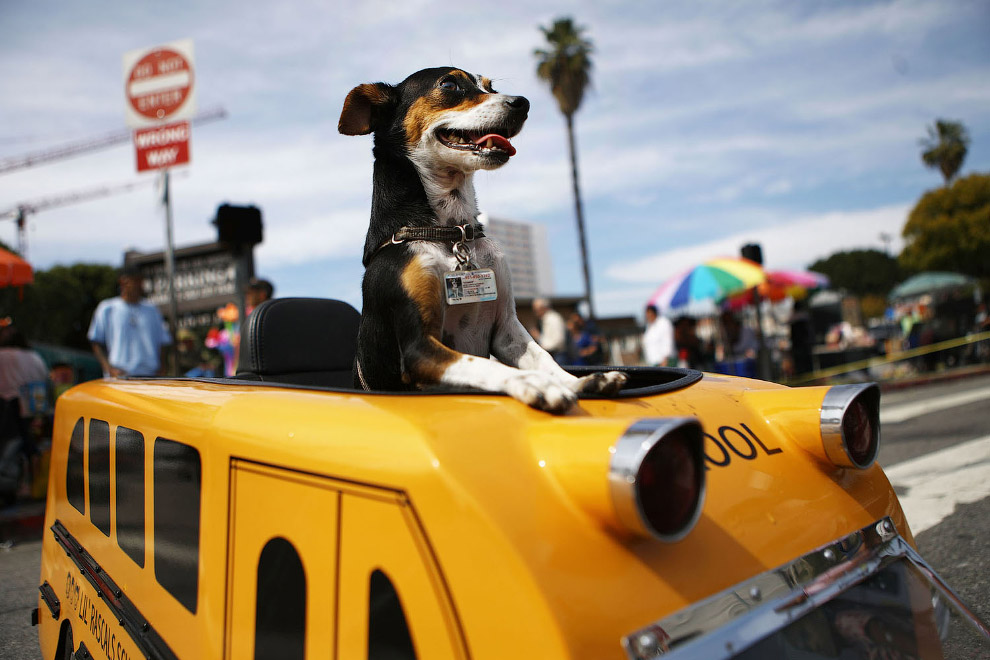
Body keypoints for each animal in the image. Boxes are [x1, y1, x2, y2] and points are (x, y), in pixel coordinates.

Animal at [338, 64, 624, 410]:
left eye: (489, 87)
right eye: (449, 84)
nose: (523, 103)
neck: (451, 234)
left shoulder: (508, 330)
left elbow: (545, 359)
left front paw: (580, 381)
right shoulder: (418, 348)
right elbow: (483, 364)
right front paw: (530, 382)